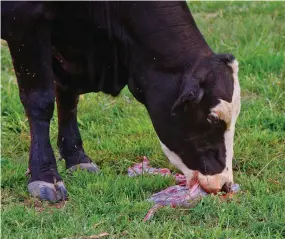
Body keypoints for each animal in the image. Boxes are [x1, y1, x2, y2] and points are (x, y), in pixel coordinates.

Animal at [1, 1, 240, 202]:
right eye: (210, 119)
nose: (225, 185)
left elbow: (68, 97)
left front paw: (77, 158)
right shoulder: (26, 21)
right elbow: (40, 100)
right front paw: (44, 175)